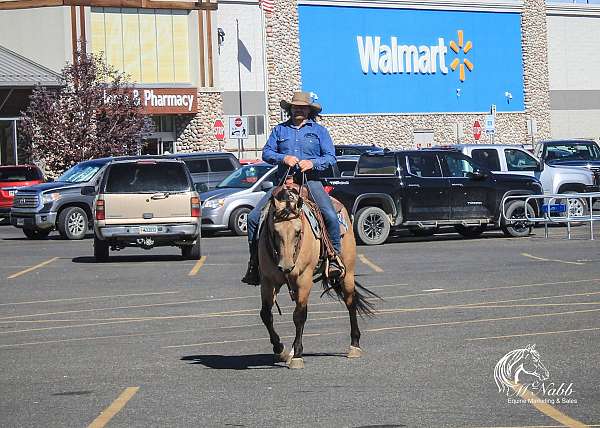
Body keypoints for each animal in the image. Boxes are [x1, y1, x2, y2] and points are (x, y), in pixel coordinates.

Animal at [255, 183, 378, 368]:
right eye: (275, 232)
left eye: (298, 231)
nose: (286, 266)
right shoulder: (268, 280)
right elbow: (266, 314)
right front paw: (280, 350)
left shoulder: (304, 279)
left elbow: (299, 315)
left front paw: (297, 356)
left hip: (347, 271)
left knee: (351, 303)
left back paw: (354, 346)